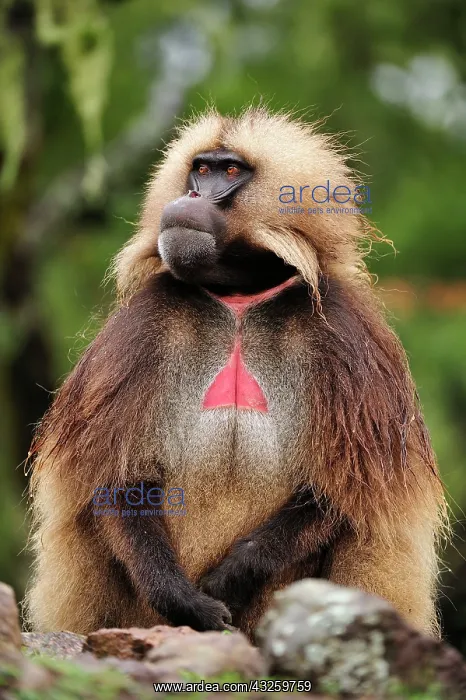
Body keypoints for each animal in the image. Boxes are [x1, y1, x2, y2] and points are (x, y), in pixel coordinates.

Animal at [25, 108, 446, 639]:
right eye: (199, 170)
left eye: (228, 172)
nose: (189, 198)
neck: (240, 298)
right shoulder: (144, 325)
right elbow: (116, 480)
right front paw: (188, 600)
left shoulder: (347, 335)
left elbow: (345, 491)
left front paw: (228, 579)